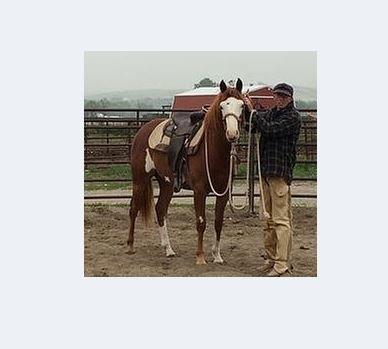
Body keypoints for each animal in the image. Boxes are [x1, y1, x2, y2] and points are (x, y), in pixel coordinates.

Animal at [128, 78, 246, 264]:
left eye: (241, 105)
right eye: (222, 107)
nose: (232, 134)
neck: (213, 151)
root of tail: (143, 130)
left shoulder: (223, 192)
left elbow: (218, 222)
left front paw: (217, 256)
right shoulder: (199, 190)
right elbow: (201, 222)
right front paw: (200, 257)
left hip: (167, 183)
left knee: (160, 210)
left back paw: (168, 249)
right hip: (140, 179)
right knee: (133, 209)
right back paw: (131, 245)